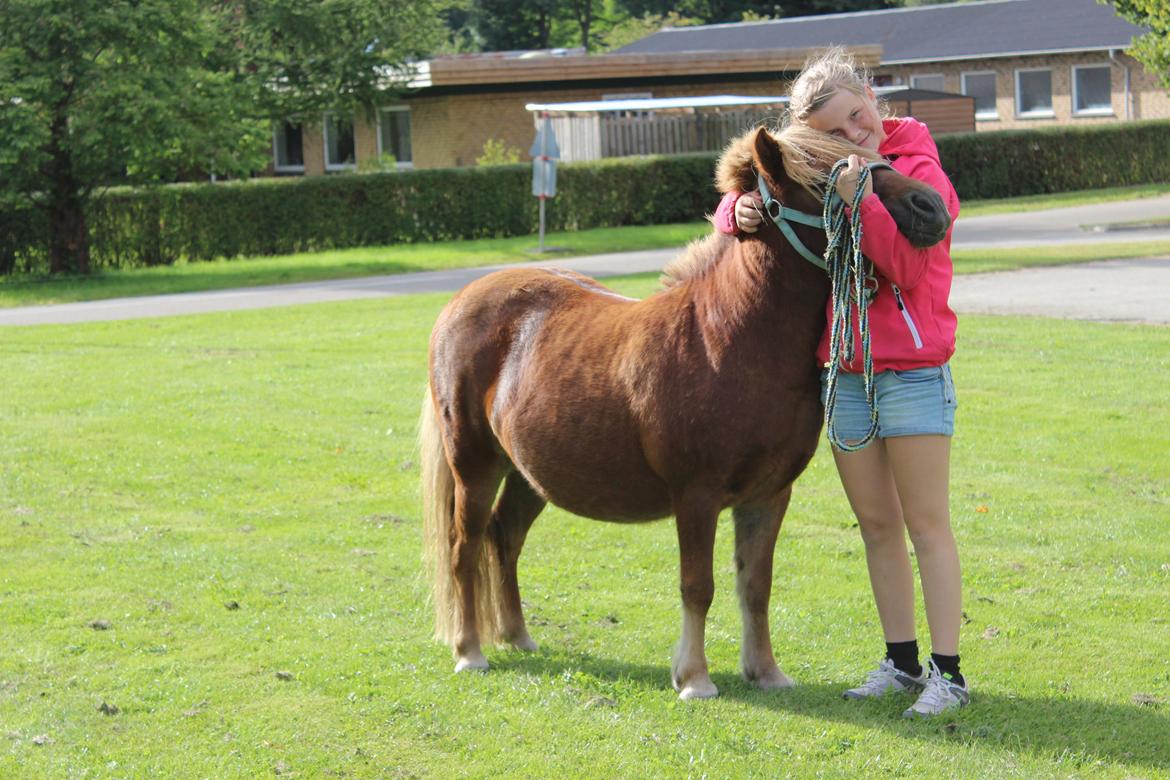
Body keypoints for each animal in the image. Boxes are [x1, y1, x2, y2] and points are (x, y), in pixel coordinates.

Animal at [419, 125, 952, 699]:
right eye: (826, 181)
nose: (930, 206)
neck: (728, 337)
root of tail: (460, 302)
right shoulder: (696, 495)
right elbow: (698, 585)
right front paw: (694, 677)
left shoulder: (768, 495)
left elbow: (756, 585)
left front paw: (765, 671)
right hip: (475, 465)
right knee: (464, 546)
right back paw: (470, 651)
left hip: (526, 473)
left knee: (506, 536)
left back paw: (517, 636)